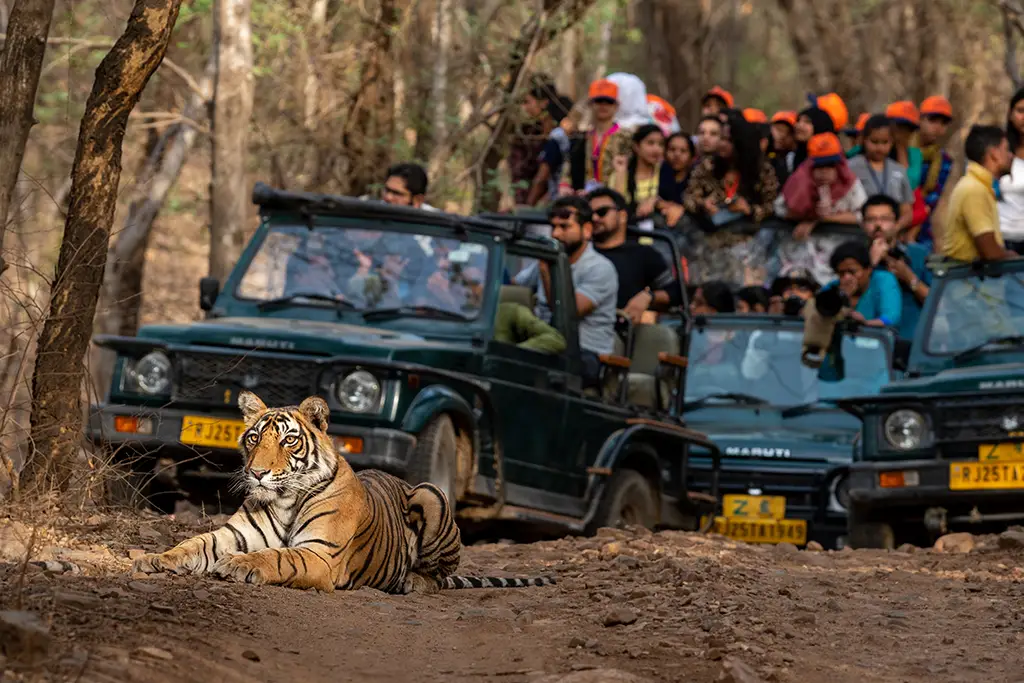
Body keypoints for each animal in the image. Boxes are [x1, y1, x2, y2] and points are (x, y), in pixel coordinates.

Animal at [131, 390, 556, 594]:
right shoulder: (232, 534)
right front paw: (153, 559)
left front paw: (240, 564)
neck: (284, 498)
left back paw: (412, 582)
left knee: (439, 574)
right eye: (253, 438)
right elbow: (192, 544)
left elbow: (278, 556)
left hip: (432, 493)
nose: (257, 473)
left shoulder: (321, 554)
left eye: (288, 440)